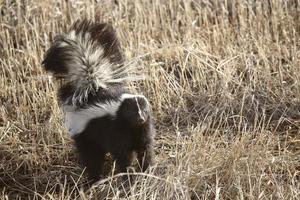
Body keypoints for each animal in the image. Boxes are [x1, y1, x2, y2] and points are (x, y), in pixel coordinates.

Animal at [42, 19, 155, 183]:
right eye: (131, 112)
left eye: (145, 111)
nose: (140, 118)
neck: (132, 127)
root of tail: (92, 89)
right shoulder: (117, 132)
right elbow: (124, 155)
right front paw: (128, 177)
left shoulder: (143, 131)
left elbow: (145, 150)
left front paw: (147, 171)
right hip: (85, 135)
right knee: (92, 158)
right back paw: (94, 179)